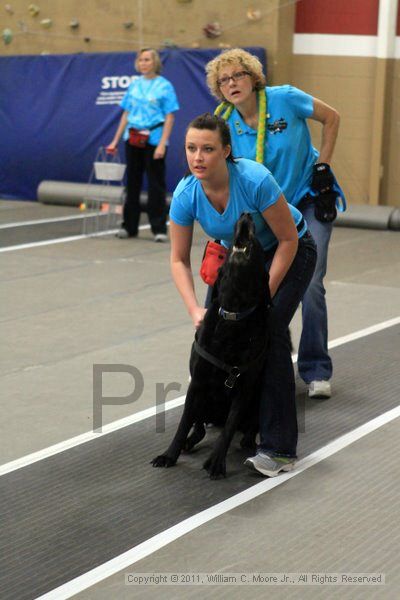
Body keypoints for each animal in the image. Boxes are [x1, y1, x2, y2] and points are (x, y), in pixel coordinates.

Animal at [151, 213, 272, 480]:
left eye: (258, 243)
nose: (246, 214)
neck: (233, 313)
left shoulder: (243, 390)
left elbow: (228, 430)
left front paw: (216, 462)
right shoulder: (196, 384)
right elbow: (183, 424)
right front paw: (169, 455)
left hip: (257, 398)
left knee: (245, 426)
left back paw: (249, 441)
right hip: (204, 403)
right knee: (199, 427)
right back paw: (188, 443)